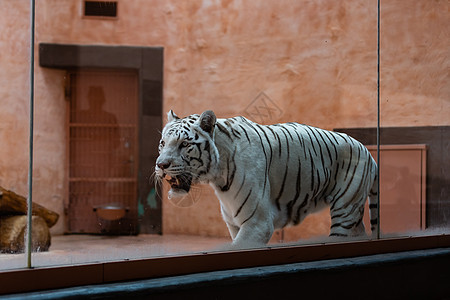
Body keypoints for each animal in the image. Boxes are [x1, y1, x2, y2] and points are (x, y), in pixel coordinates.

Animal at [156, 110, 378, 246]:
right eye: (162, 143)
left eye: (184, 144)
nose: (161, 165)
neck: (218, 177)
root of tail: (368, 152)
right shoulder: (235, 225)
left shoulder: (258, 222)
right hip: (352, 215)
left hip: (345, 210)